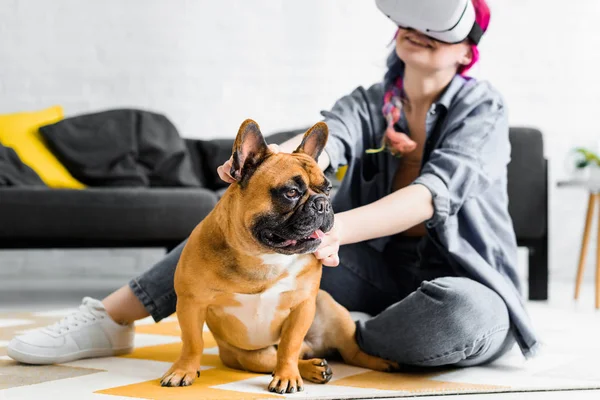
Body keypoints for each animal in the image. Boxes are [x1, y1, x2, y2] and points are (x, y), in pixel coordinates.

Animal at [161, 119, 398, 394]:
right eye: (291, 192)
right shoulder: (191, 303)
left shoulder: (303, 306)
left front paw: (286, 376)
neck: (263, 255)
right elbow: (192, 342)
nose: (323, 203)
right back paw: (314, 368)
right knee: (279, 358)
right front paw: (183, 371)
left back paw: (377, 362)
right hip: (250, 356)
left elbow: (289, 345)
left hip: (331, 309)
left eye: (328, 189)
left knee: (346, 352)